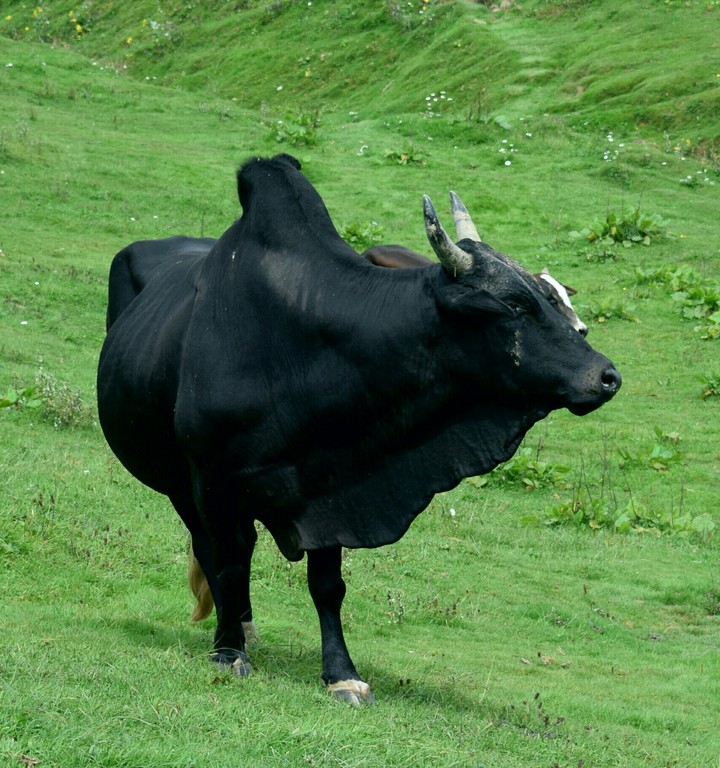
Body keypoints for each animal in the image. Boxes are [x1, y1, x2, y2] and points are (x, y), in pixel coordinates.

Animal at [97, 153, 620, 705]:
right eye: (518, 305)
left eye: (549, 296)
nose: (606, 376)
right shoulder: (212, 480)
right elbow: (227, 562)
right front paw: (228, 652)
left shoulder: (332, 487)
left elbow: (327, 586)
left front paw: (340, 673)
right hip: (178, 483)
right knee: (212, 548)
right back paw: (233, 629)